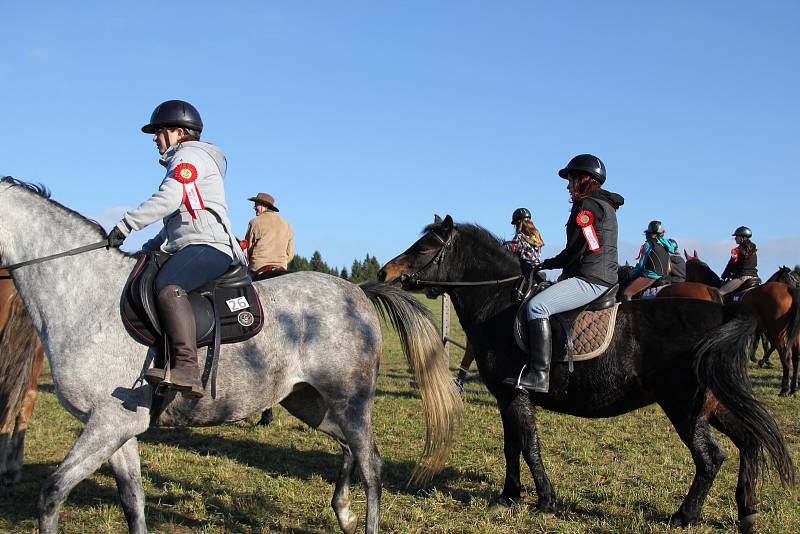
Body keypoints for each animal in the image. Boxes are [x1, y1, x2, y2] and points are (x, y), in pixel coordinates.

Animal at [0, 180, 462, 534]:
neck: (85, 292)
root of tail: (358, 292)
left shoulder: (109, 424)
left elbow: (52, 493)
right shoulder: (117, 429)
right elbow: (133, 500)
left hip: (350, 402)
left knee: (371, 465)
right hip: (310, 403)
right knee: (350, 450)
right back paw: (344, 512)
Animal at [680, 253, 800, 396]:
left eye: (686, 267)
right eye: (791, 278)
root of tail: (789, 290)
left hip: (777, 332)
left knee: (785, 356)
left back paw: (784, 388)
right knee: (796, 357)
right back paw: (793, 388)